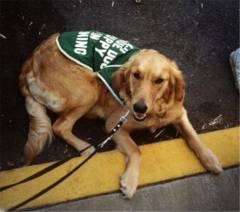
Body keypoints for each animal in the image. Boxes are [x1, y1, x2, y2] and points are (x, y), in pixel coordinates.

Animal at [19, 31, 222, 199]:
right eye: (136, 75)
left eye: (159, 81)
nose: (139, 107)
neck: (154, 111)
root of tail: (32, 58)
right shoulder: (114, 125)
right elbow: (136, 150)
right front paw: (130, 182)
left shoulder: (179, 113)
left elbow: (193, 136)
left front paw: (210, 159)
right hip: (89, 90)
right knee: (59, 126)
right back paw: (86, 148)